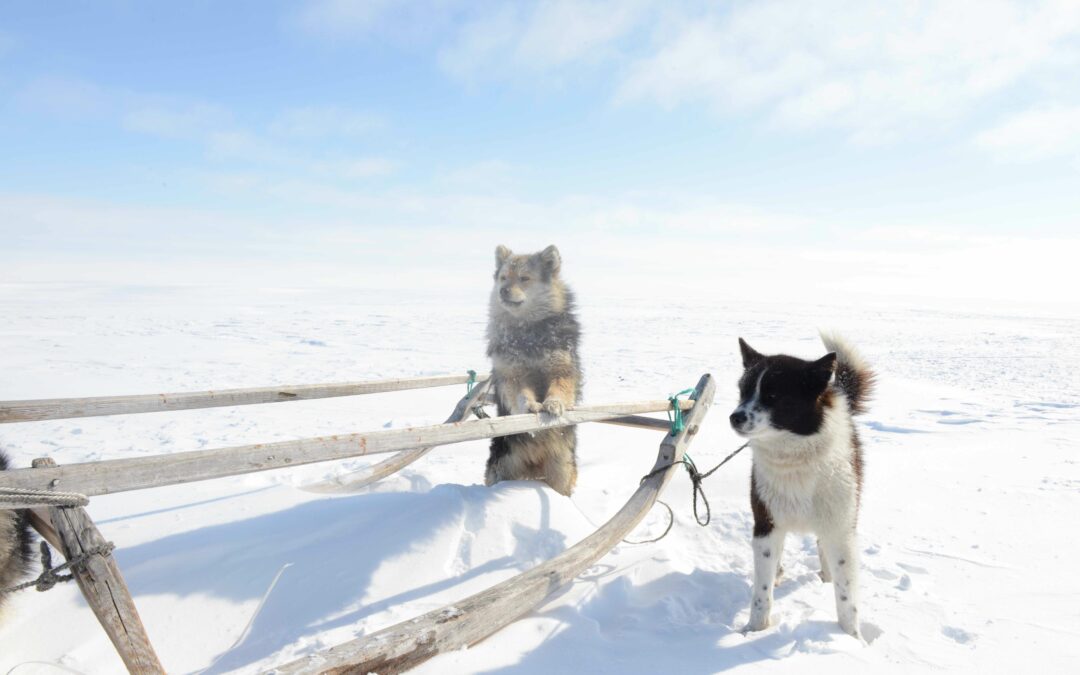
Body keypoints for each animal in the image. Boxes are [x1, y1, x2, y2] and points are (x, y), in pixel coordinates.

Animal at [730, 332, 872, 635]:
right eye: (743, 391)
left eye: (773, 395)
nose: (734, 417)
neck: (795, 459)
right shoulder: (766, 523)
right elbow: (761, 591)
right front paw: (754, 630)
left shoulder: (841, 528)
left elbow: (847, 598)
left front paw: (851, 638)